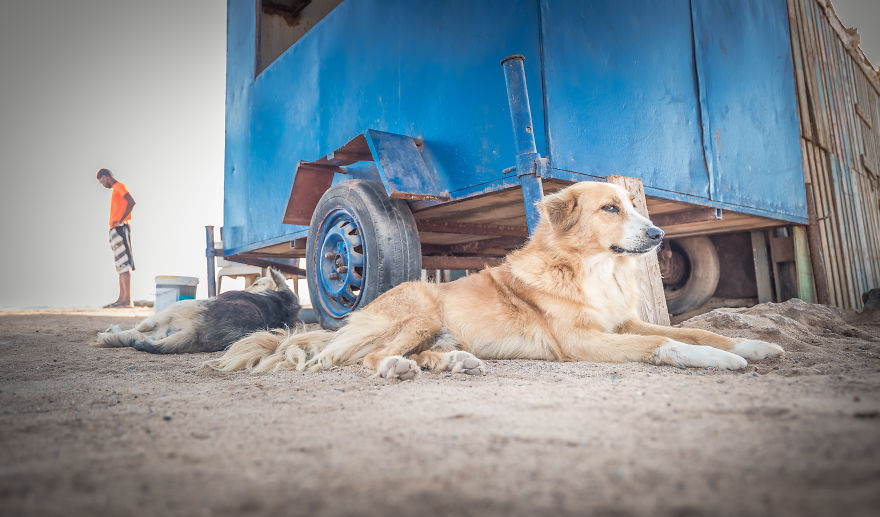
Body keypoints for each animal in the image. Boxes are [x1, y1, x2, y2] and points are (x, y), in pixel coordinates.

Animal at [96, 268, 300, 352]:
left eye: (257, 283)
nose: (245, 290)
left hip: (172, 311)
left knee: (135, 332)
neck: (281, 300)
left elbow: (137, 328)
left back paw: (107, 335)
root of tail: (197, 332)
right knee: (139, 337)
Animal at [206, 179, 784, 376]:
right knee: (367, 359)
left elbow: (697, 329)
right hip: (419, 308)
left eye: (634, 205)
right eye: (610, 208)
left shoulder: (621, 324)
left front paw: (753, 344)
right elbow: (665, 346)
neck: (588, 271)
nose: (661, 234)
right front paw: (724, 359)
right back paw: (398, 367)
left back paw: (452, 361)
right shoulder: (584, 342)